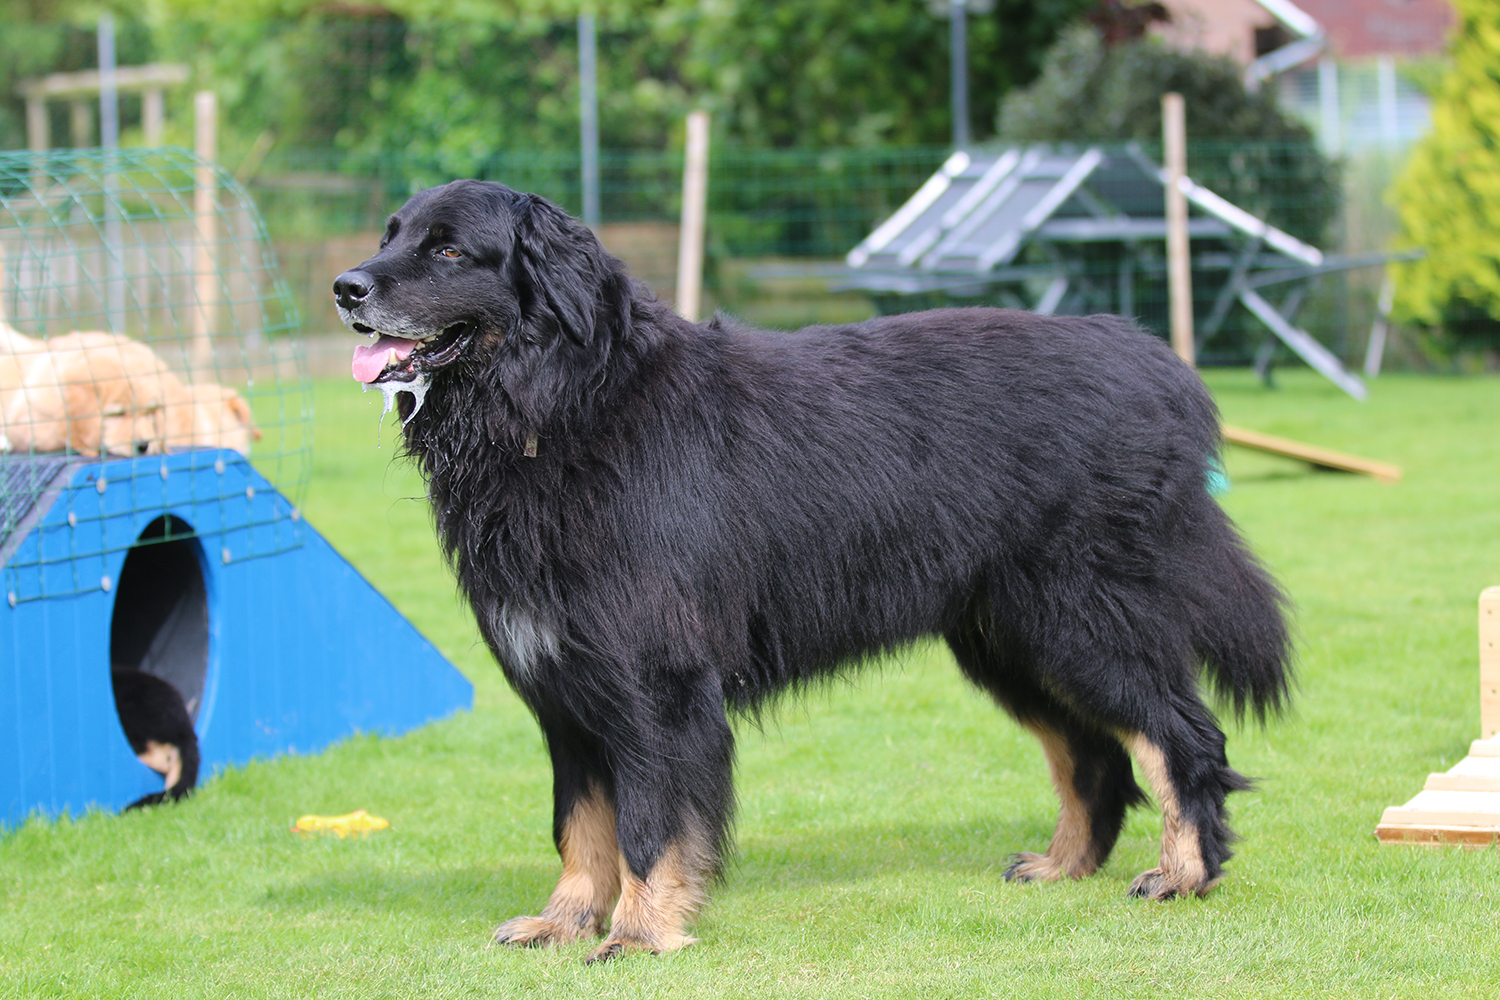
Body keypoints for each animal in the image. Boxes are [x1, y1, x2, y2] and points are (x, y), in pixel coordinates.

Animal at [334, 180, 1292, 962]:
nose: (347, 287)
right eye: (391, 235)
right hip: (1011, 640)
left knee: (1180, 735)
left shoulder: (654, 683)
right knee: (1093, 754)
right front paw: (564, 920)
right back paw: (1064, 865)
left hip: (1079, 620)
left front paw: (640, 931)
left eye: (449, 250)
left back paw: (1185, 872)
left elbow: (647, 823)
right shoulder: (566, 691)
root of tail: (1149, 360)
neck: (564, 403)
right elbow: (579, 825)